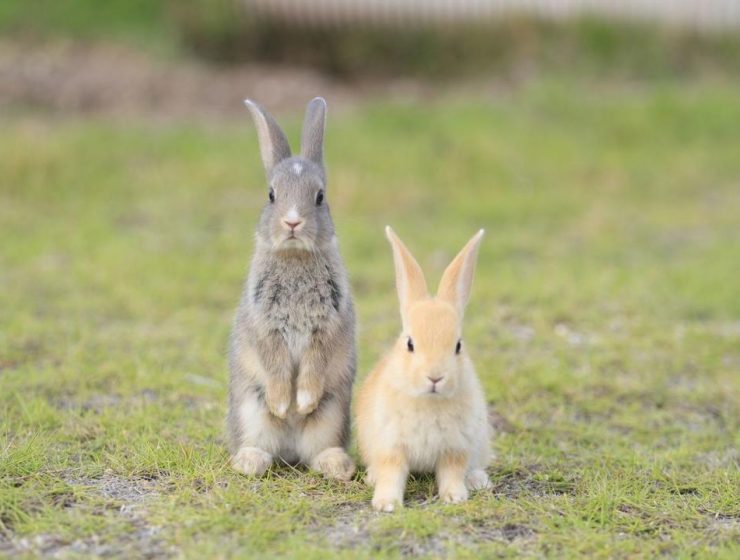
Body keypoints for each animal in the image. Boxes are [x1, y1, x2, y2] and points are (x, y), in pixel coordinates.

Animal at [227, 97, 356, 481]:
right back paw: (249, 461)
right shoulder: (265, 325)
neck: (295, 257)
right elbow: (274, 362)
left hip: (333, 413)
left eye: (320, 196)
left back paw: (338, 466)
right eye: (271, 195)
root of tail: (290, 451)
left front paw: (303, 401)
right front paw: (284, 404)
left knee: (318, 451)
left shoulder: (327, 325)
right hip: (250, 410)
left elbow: (315, 364)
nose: (292, 221)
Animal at [356, 227, 492, 511]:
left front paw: (455, 497)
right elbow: (392, 473)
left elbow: (452, 472)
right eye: (410, 344)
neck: (429, 401)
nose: (435, 377)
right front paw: (387, 503)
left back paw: (477, 481)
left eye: (458, 345)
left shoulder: (456, 448)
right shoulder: (391, 446)